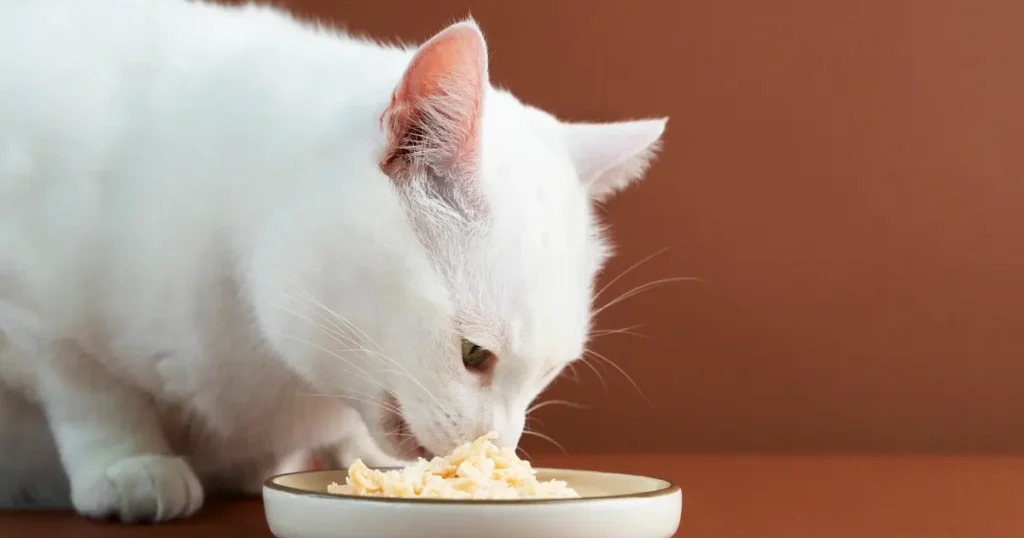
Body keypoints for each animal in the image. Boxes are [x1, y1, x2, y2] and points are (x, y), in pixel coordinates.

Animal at [0, 0, 667, 522]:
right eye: (474, 353)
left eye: (551, 371)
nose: (498, 445)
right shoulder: (34, 310)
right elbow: (90, 388)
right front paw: (130, 463)